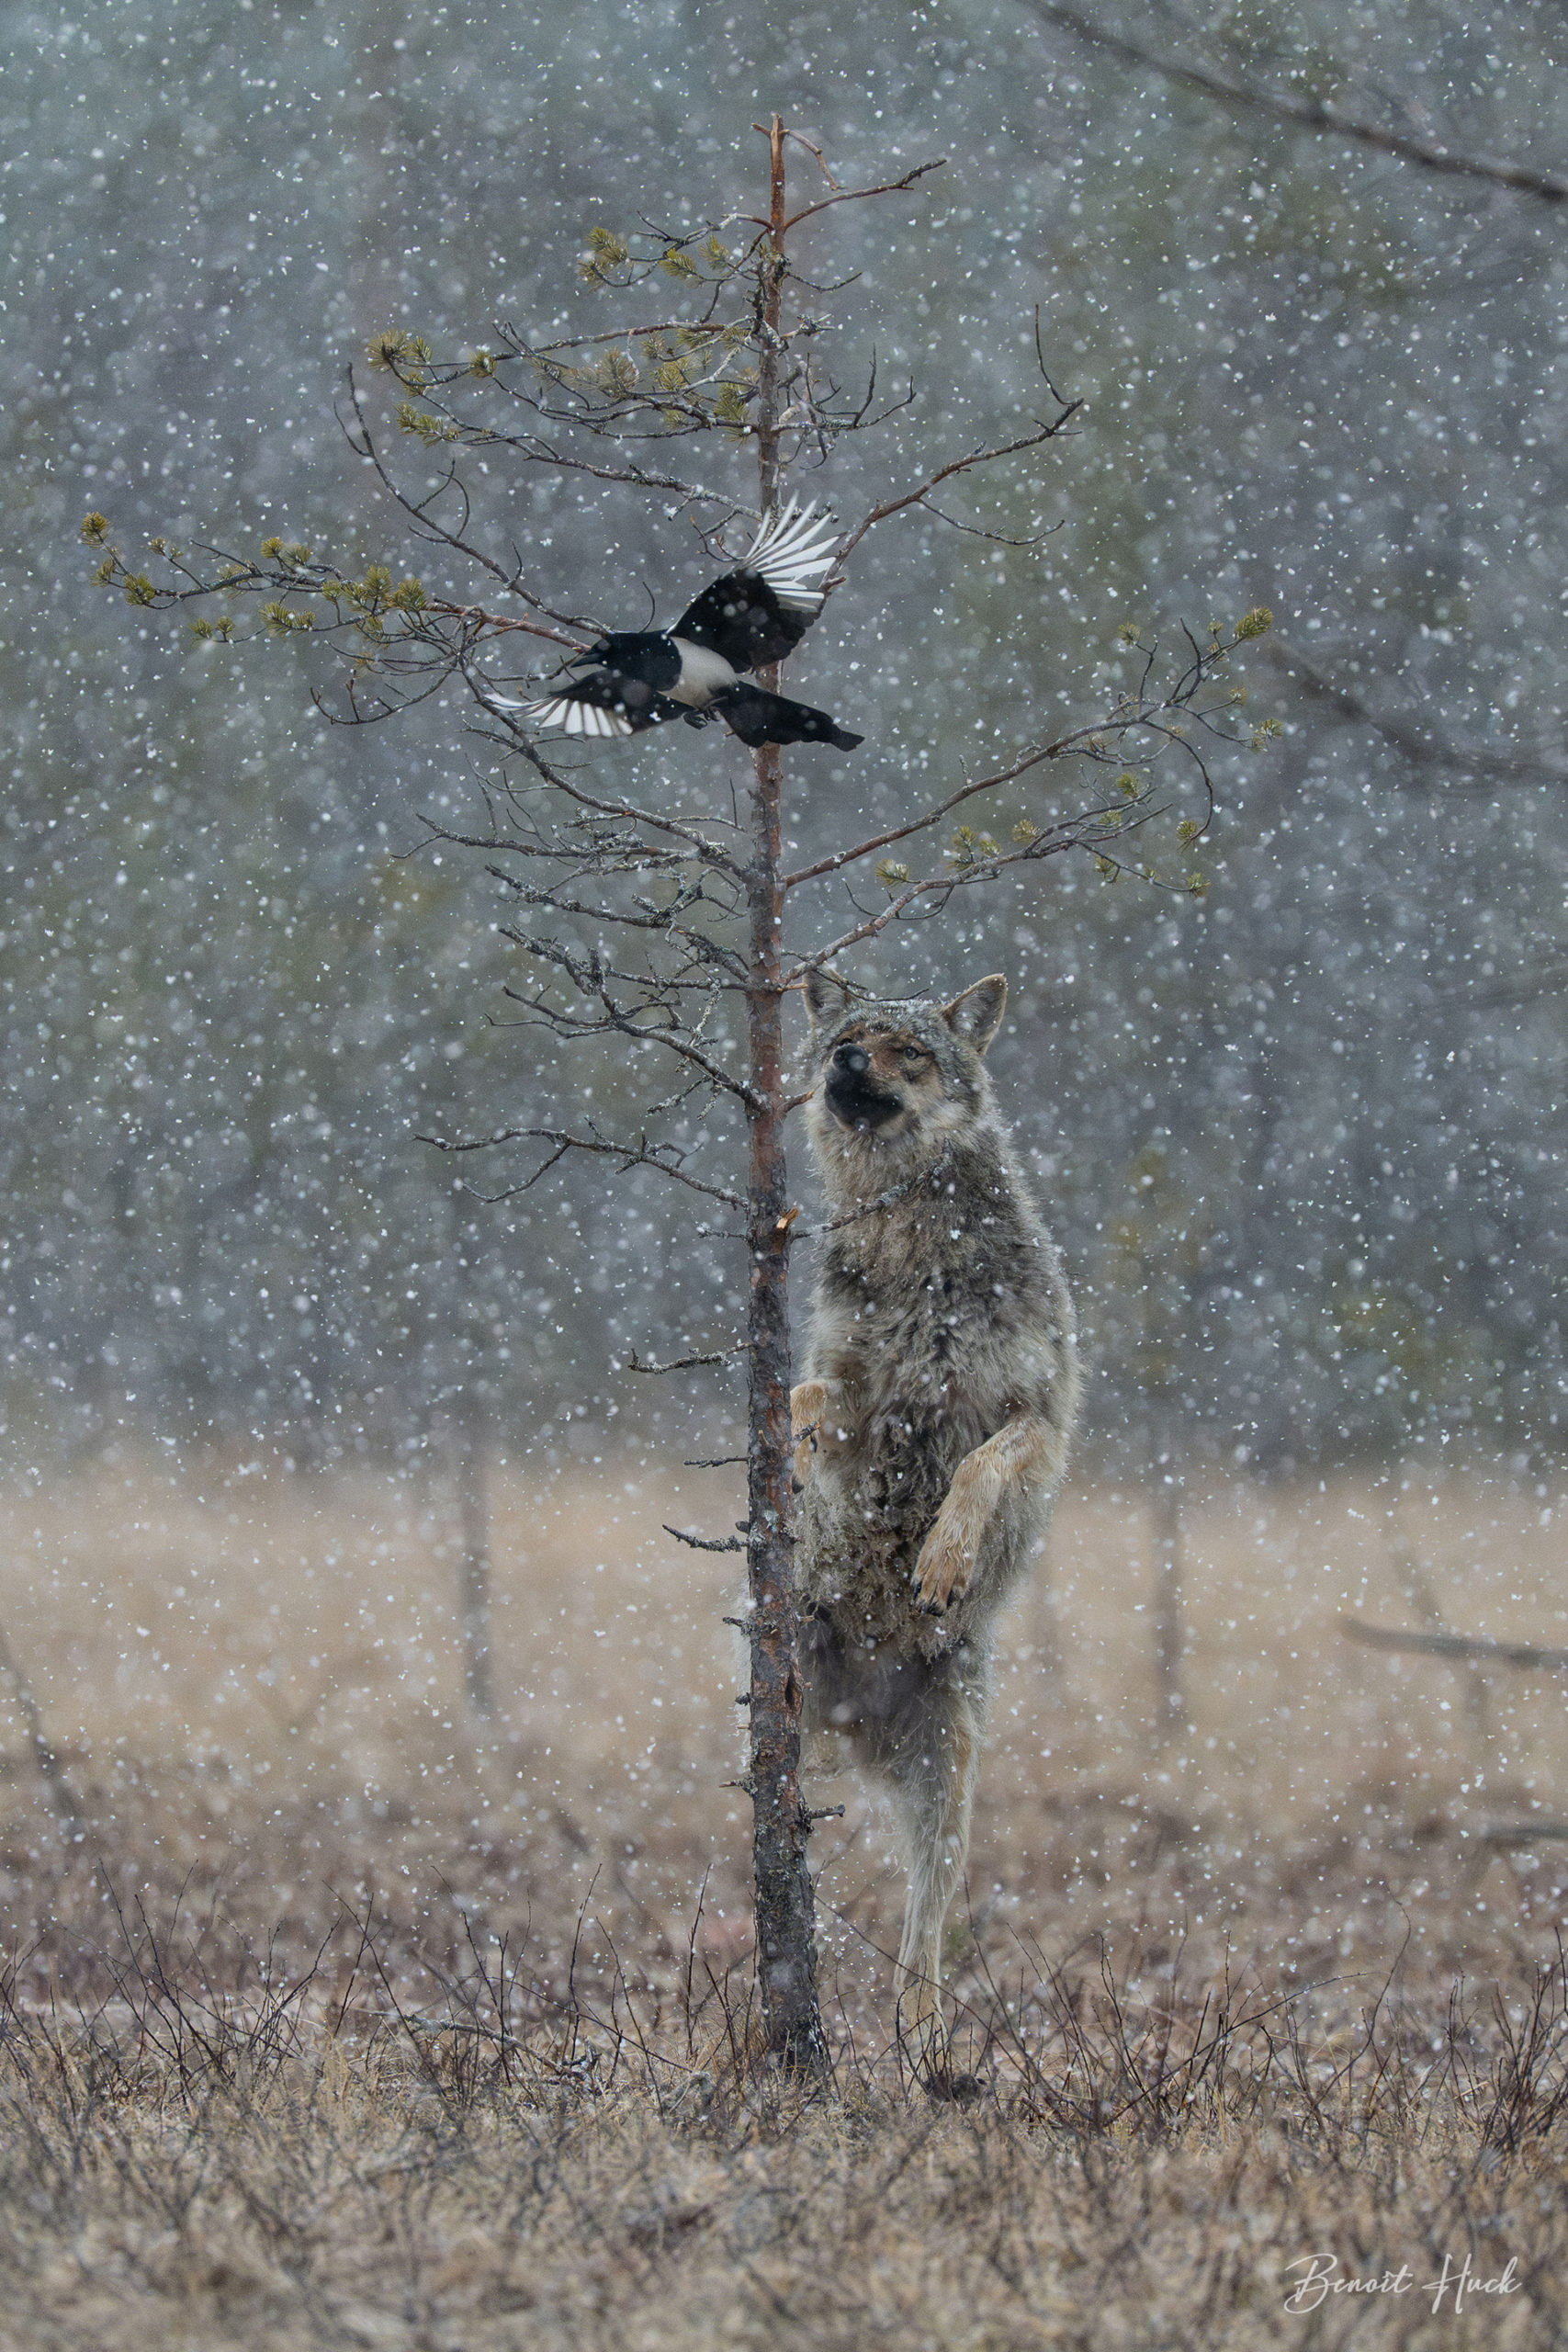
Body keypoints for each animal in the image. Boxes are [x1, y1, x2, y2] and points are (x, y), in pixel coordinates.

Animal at [791, 969, 1080, 2026]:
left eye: (909, 1049)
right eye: (847, 1032)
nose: (843, 1057)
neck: (912, 1246)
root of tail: (856, 1723)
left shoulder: (1041, 1417)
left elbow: (976, 1466)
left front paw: (943, 1563)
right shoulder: (851, 1398)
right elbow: (805, 1401)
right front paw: (793, 1477)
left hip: (950, 1788)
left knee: (925, 1942)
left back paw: (919, 2036)